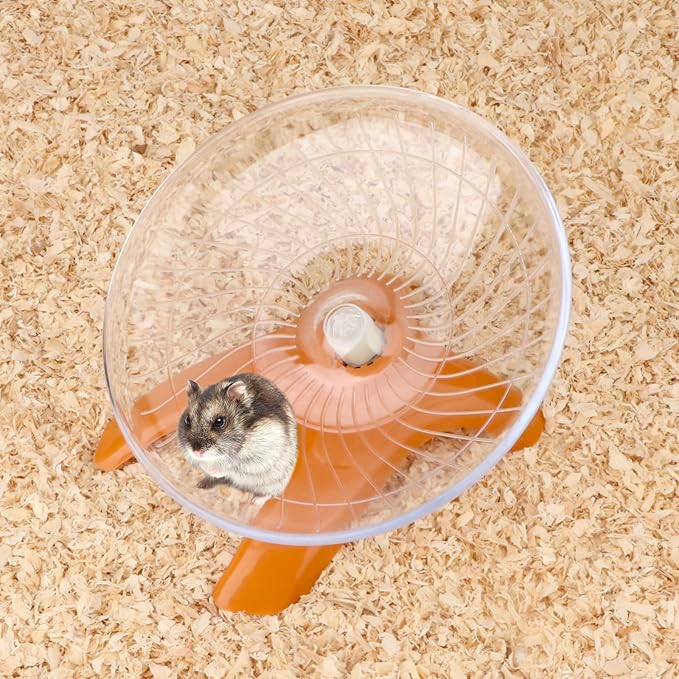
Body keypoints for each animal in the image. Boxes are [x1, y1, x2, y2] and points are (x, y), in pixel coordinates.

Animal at [176, 373, 298, 501]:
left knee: (269, 493)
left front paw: (216, 471)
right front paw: (207, 471)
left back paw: (255, 500)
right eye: (187, 419)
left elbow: (233, 467)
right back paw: (201, 484)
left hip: (275, 483)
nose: (196, 452)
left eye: (219, 421)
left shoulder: (259, 457)